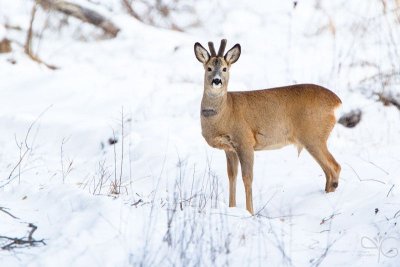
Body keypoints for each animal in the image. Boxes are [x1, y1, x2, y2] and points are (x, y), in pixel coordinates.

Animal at [194, 39, 340, 216]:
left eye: (224, 68)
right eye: (208, 68)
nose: (217, 80)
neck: (225, 112)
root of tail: (337, 102)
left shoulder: (245, 141)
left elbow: (247, 178)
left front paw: (250, 212)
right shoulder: (229, 149)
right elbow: (232, 176)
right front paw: (232, 208)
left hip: (314, 136)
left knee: (334, 167)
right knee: (328, 171)